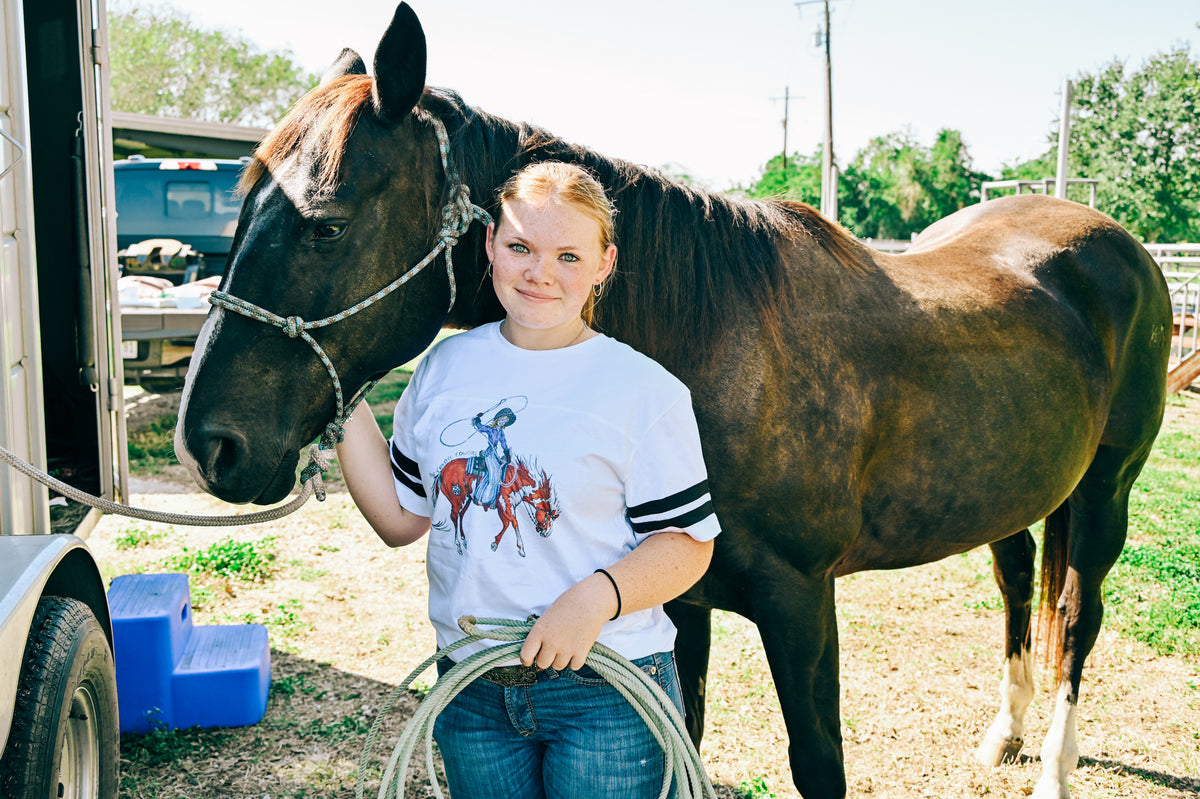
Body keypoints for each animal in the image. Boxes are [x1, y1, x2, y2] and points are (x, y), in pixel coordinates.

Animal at [172, 5, 1172, 797]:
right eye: (241, 207)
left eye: (326, 224)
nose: (210, 444)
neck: (715, 354)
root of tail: (1114, 241)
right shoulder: (681, 600)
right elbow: (678, 732)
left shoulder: (801, 603)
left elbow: (819, 763)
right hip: (1018, 489)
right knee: (1017, 580)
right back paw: (1005, 734)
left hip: (1106, 493)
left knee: (1077, 614)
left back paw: (1053, 767)